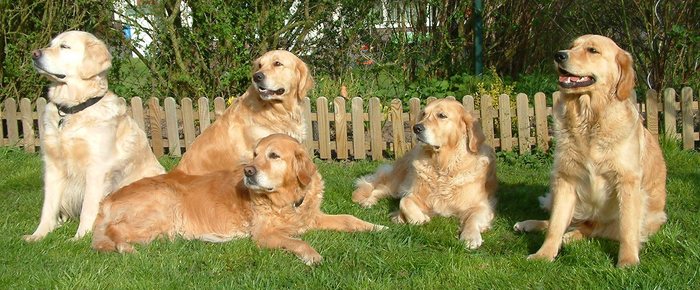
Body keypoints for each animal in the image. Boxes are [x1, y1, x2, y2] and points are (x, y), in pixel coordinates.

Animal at [22, 30, 165, 241]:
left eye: (65, 46)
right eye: (50, 44)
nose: (34, 54)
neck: (72, 109)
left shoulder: (97, 168)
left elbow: (88, 207)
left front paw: (80, 237)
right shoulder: (53, 165)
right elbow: (48, 206)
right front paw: (39, 234)